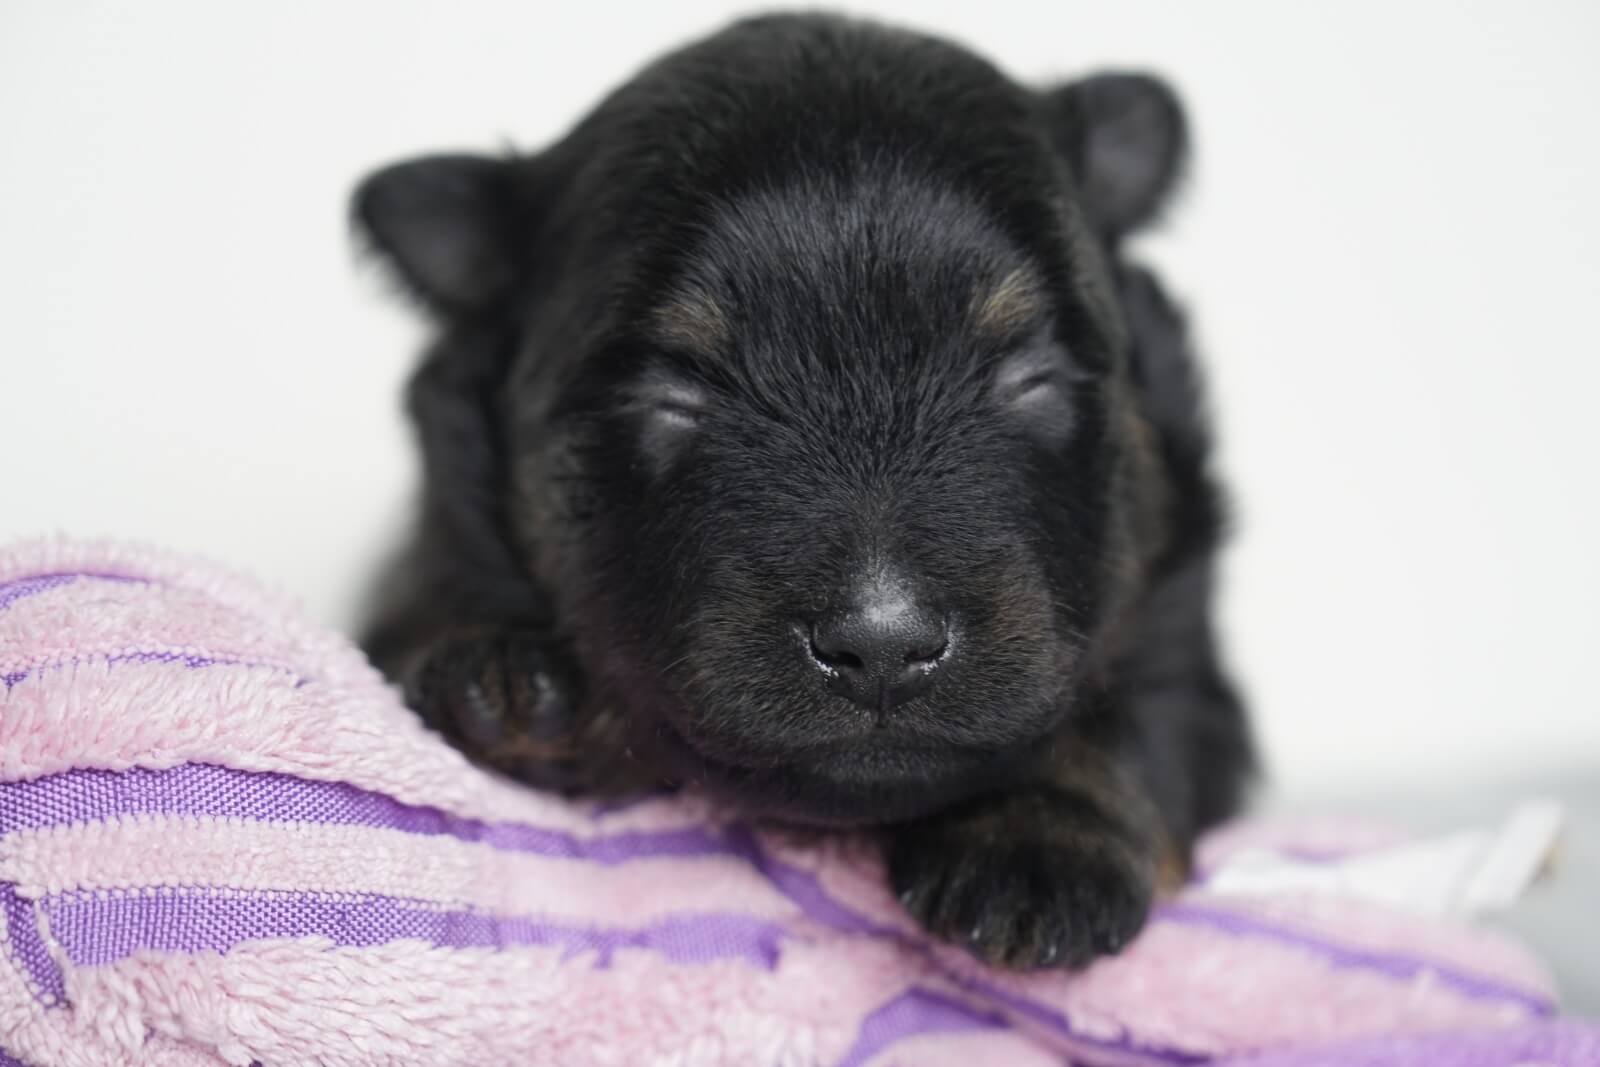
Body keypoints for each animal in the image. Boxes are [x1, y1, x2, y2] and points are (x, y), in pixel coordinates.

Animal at [354, 12, 1254, 971]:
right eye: (674, 396)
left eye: (1030, 378)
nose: (883, 644)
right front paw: (508, 688)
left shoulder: (1183, 614)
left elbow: (1141, 707)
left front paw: (1037, 841)